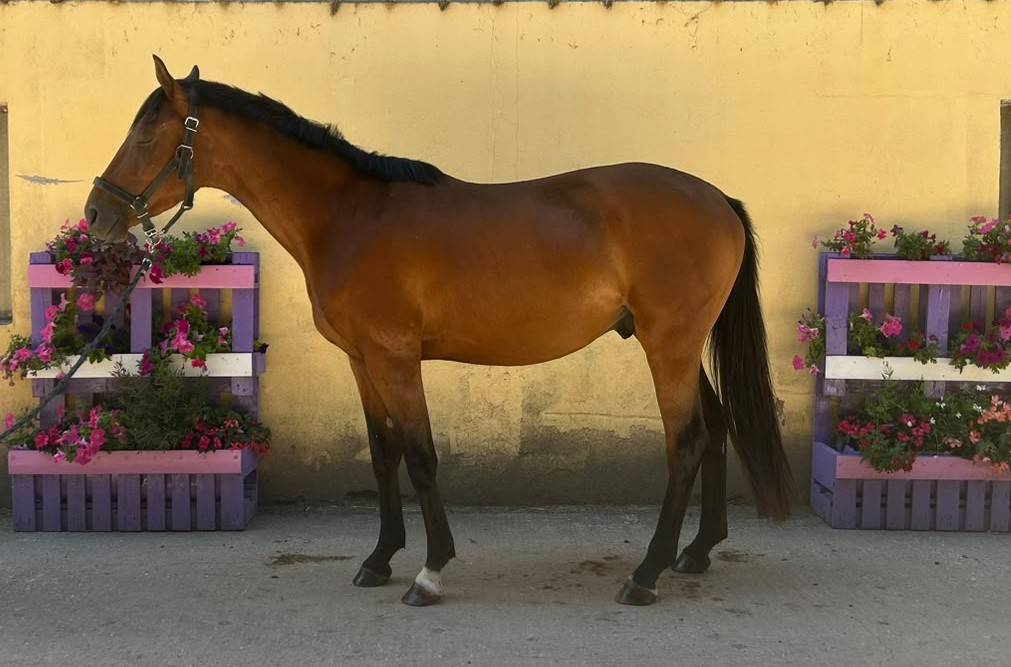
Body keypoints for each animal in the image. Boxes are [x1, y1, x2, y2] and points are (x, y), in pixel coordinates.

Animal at [85, 56, 793, 607]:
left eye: (147, 136)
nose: (96, 214)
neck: (347, 217)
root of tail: (718, 199)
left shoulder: (396, 358)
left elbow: (422, 455)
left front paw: (429, 572)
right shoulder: (362, 360)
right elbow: (384, 454)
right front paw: (378, 560)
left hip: (667, 344)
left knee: (687, 441)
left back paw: (645, 575)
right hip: (674, 345)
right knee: (716, 428)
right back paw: (695, 553)